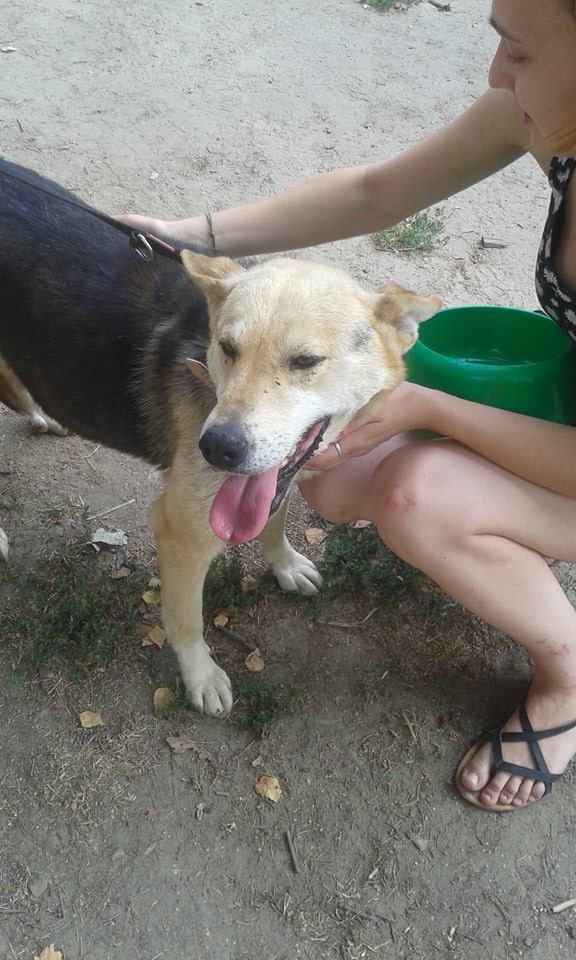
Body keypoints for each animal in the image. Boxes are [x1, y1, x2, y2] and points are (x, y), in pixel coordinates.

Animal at [0, 157, 441, 714]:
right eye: (227, 348)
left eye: (306, 361)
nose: (217, 448)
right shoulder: (180, 532)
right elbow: (186, 619)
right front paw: (201, 676)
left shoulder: (272, 481)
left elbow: (273, 521)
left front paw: (284, 565)